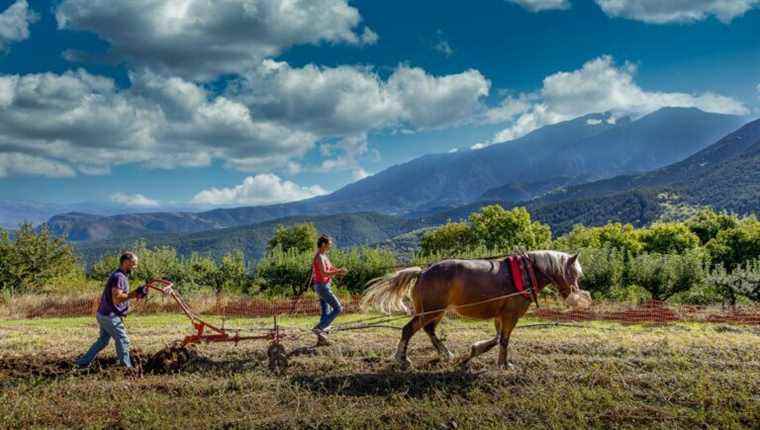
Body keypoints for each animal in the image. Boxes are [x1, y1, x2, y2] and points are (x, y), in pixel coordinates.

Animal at [362, 250, 592, 368]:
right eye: (575, 274)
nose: (574, 297)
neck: (525, 273)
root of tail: (423, 272)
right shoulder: (511, 315)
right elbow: (504, 340)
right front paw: (504, 365)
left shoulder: (501, 315)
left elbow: (498, 338)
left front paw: (474, 352)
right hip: (431, 311)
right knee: (408, 329)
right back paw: (402, 359)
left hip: (436, 311)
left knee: (429, 330)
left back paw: (446, 353)